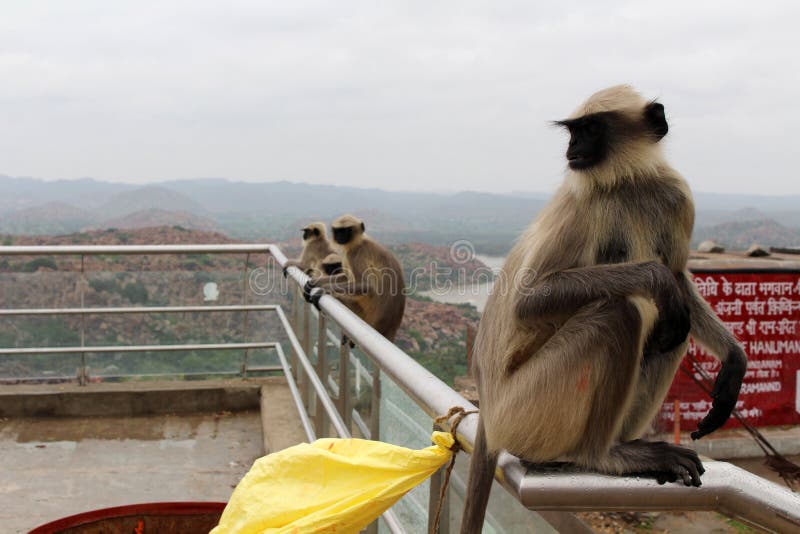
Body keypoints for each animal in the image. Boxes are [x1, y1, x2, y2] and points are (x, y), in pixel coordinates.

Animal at [304, 215, 410, 344]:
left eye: (346, 230)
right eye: (338, 231)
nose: (340, 237)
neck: (359, 242)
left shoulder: (355, 254)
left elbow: (366, 286)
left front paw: (325, 289)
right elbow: (346, 277)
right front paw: (314, 282)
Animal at [460, 86, 748, 532]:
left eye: (591, 129)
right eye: (574, 130)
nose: (572, 147)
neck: (629, 180)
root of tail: (490, 413)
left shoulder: (676, 196)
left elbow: (680, 281)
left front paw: (734, 357)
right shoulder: (583, 203)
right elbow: (527, 301)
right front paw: (656, 278)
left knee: (671, 330)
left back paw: (626, 442)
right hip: (524, 409)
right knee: (620, 313)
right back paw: (602, 455)